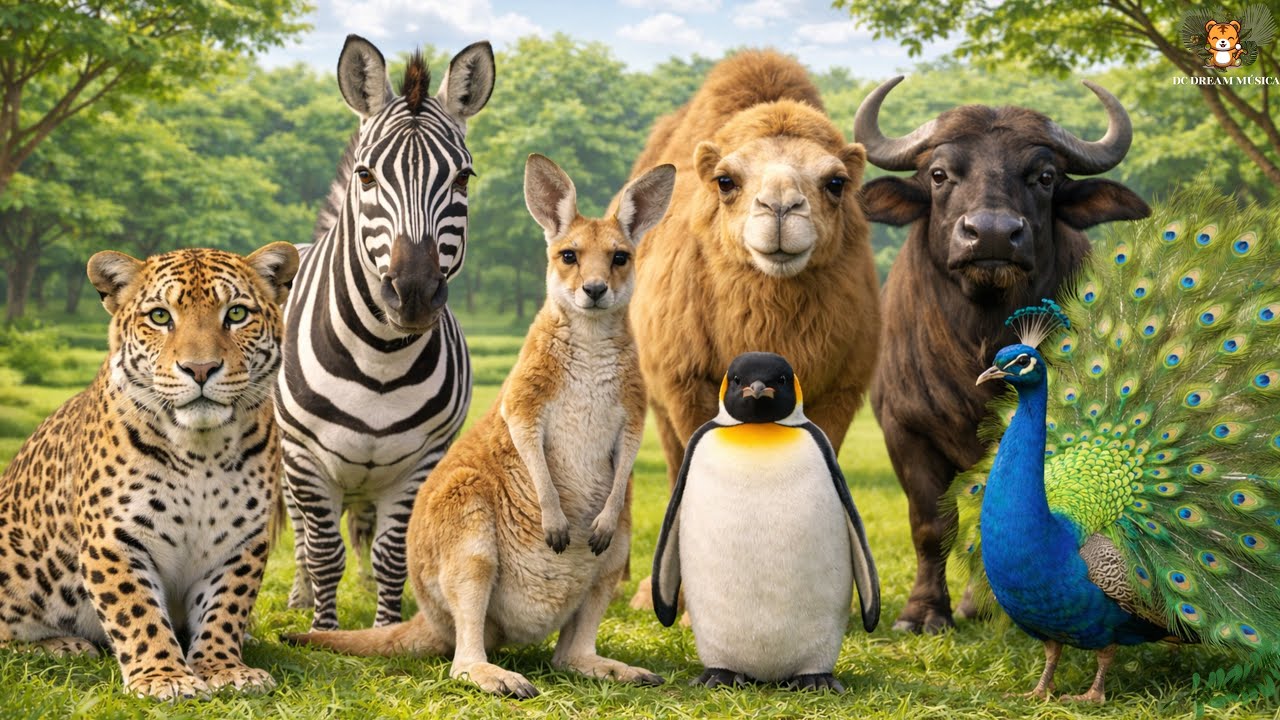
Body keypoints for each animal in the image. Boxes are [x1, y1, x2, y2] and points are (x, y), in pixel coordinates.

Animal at [276, 35, 495, 632]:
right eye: (367, 176)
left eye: (463, 178)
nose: (414, 292)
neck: (380, 358)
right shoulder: (305, 459)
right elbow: (324, 552)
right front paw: (323, 630)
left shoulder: (421, 461)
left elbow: (392, 552)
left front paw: (385, 629)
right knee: (301, 533)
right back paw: (300, 597)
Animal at [857, 77, 1150, 633]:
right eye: (939, 174)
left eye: (1045, 176)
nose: (992, 233)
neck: (977, 340)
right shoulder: (903, 429)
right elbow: (930, 525)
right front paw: (923, 613)